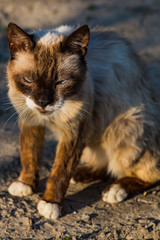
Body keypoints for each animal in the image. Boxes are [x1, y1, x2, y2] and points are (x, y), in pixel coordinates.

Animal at [6, 22, 160, 219]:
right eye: (28, 80)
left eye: (61, 82)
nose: (43, 103)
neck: (48, 116)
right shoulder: (31, 120)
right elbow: (28, 154)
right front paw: (25, 183)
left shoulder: (74, 133)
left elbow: (59, 172)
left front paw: (50, 203)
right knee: (104, 163)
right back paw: (80, 175)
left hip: (125, 128)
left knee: (149, 173)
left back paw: (115, 190)